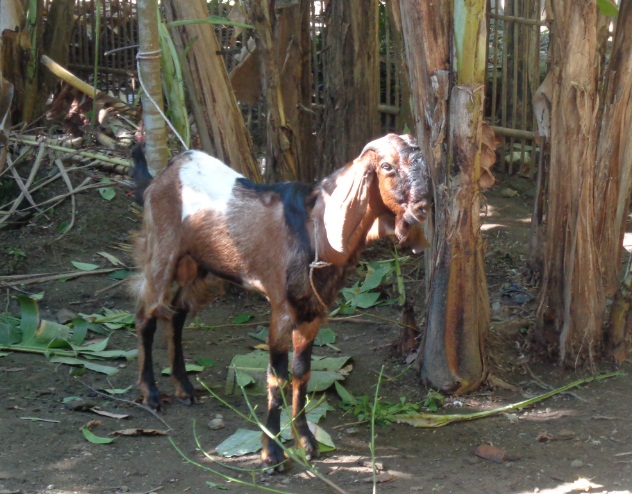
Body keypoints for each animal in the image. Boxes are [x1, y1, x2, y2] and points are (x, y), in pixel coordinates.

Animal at [131, 133, 432, 468]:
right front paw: (272, 453)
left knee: (176, 314)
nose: (422, 206)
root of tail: (162, 176)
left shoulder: (312, 313)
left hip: (195, 266)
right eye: (387, 166)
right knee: (146, 313)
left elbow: (302, 373)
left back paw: (184, 388)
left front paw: (307, 442)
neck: (316, 228)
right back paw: (151, 394)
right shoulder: (281, 309)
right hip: (162, 250)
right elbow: (277, 376)